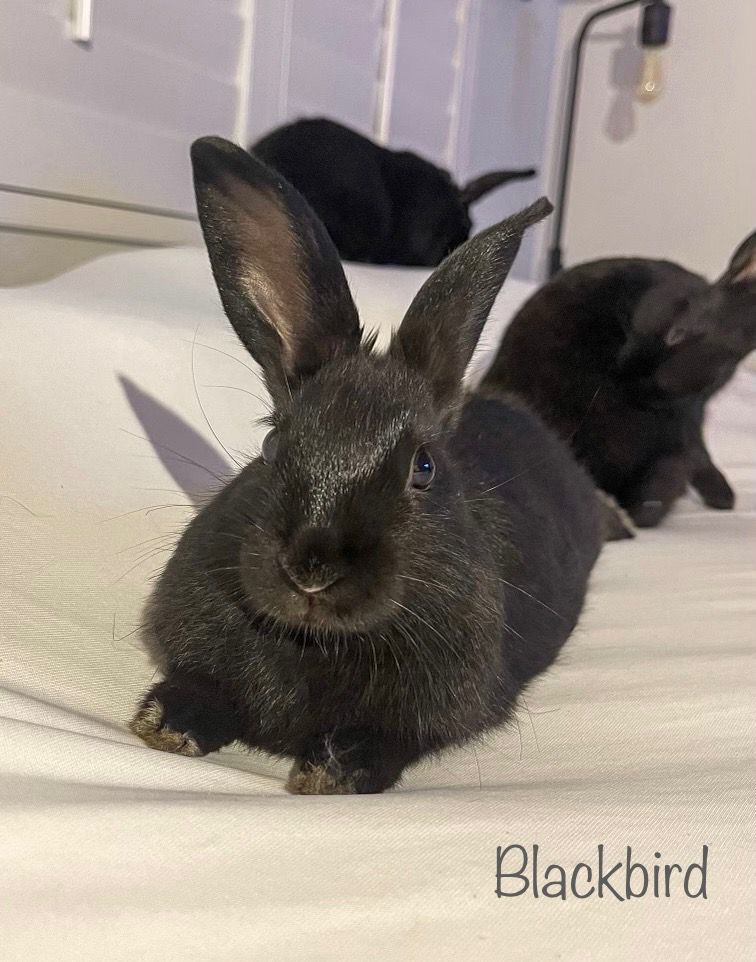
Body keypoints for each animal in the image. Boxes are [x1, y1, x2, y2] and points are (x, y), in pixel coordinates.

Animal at [129, 136, 604, 795]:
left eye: (424, 468)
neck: (313, 639)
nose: (311, 570)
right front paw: (166, 721)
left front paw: (329, 771)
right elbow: (202, 687)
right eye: (272, 445)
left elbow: (388, 741)